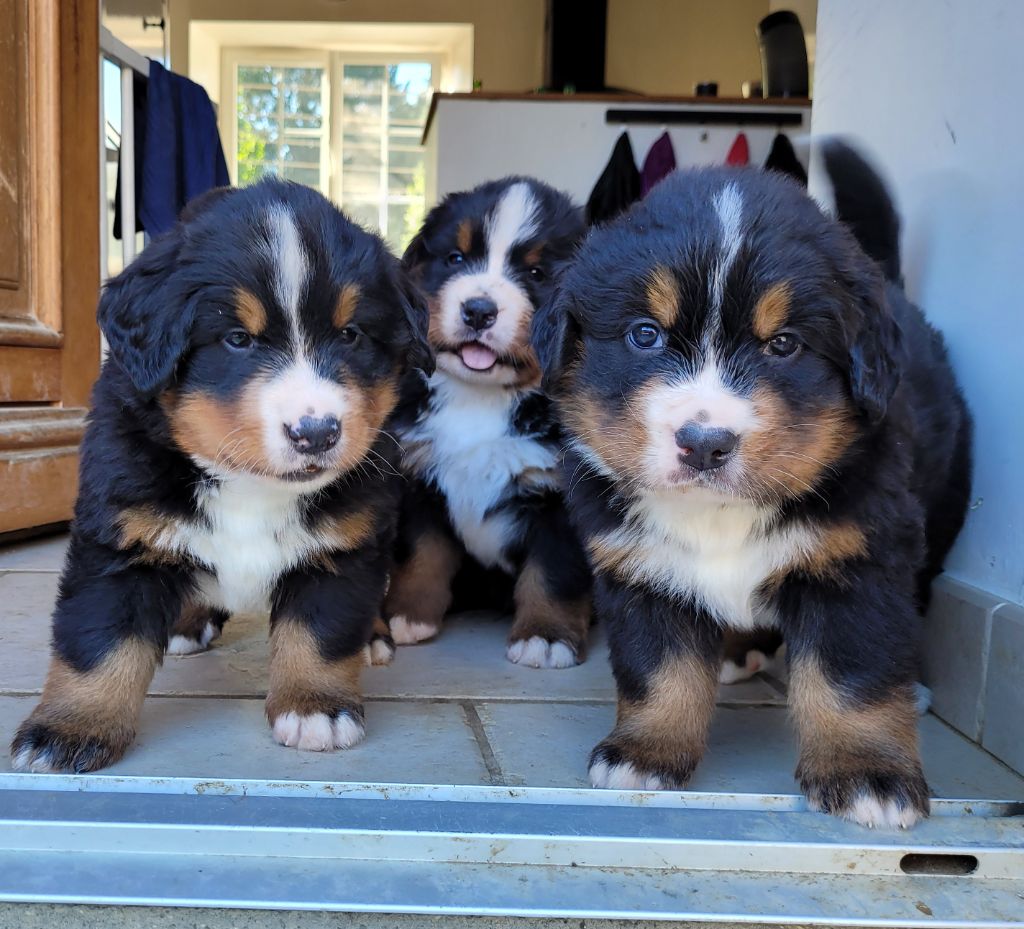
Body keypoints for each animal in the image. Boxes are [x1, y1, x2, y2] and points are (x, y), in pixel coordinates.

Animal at [9, 178, 430, 774]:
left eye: (350, 335)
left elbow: (321, 633)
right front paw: (69, 728)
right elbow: (98, 642)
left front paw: (316, 707)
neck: (248, 485)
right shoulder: (120, 541)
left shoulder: (343, 544)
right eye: (237, 339)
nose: (317, 432)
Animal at [382, 176, 593, 667]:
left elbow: (553, 573)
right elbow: (420, 555)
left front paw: (545, 636)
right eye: (455, 259)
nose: (479, 310)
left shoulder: (561, 500)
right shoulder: (419, 478)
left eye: (536, 274)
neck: (480, 400)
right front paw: (406, 615)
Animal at [532, 148, 970, 831]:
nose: (705, 442)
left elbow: (853, 678)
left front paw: (868, 774)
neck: (718, 513)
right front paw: (646, 753)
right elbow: (659, 671)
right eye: (644, 335)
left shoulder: (859, 562)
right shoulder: (641, 566)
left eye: (784, 345)